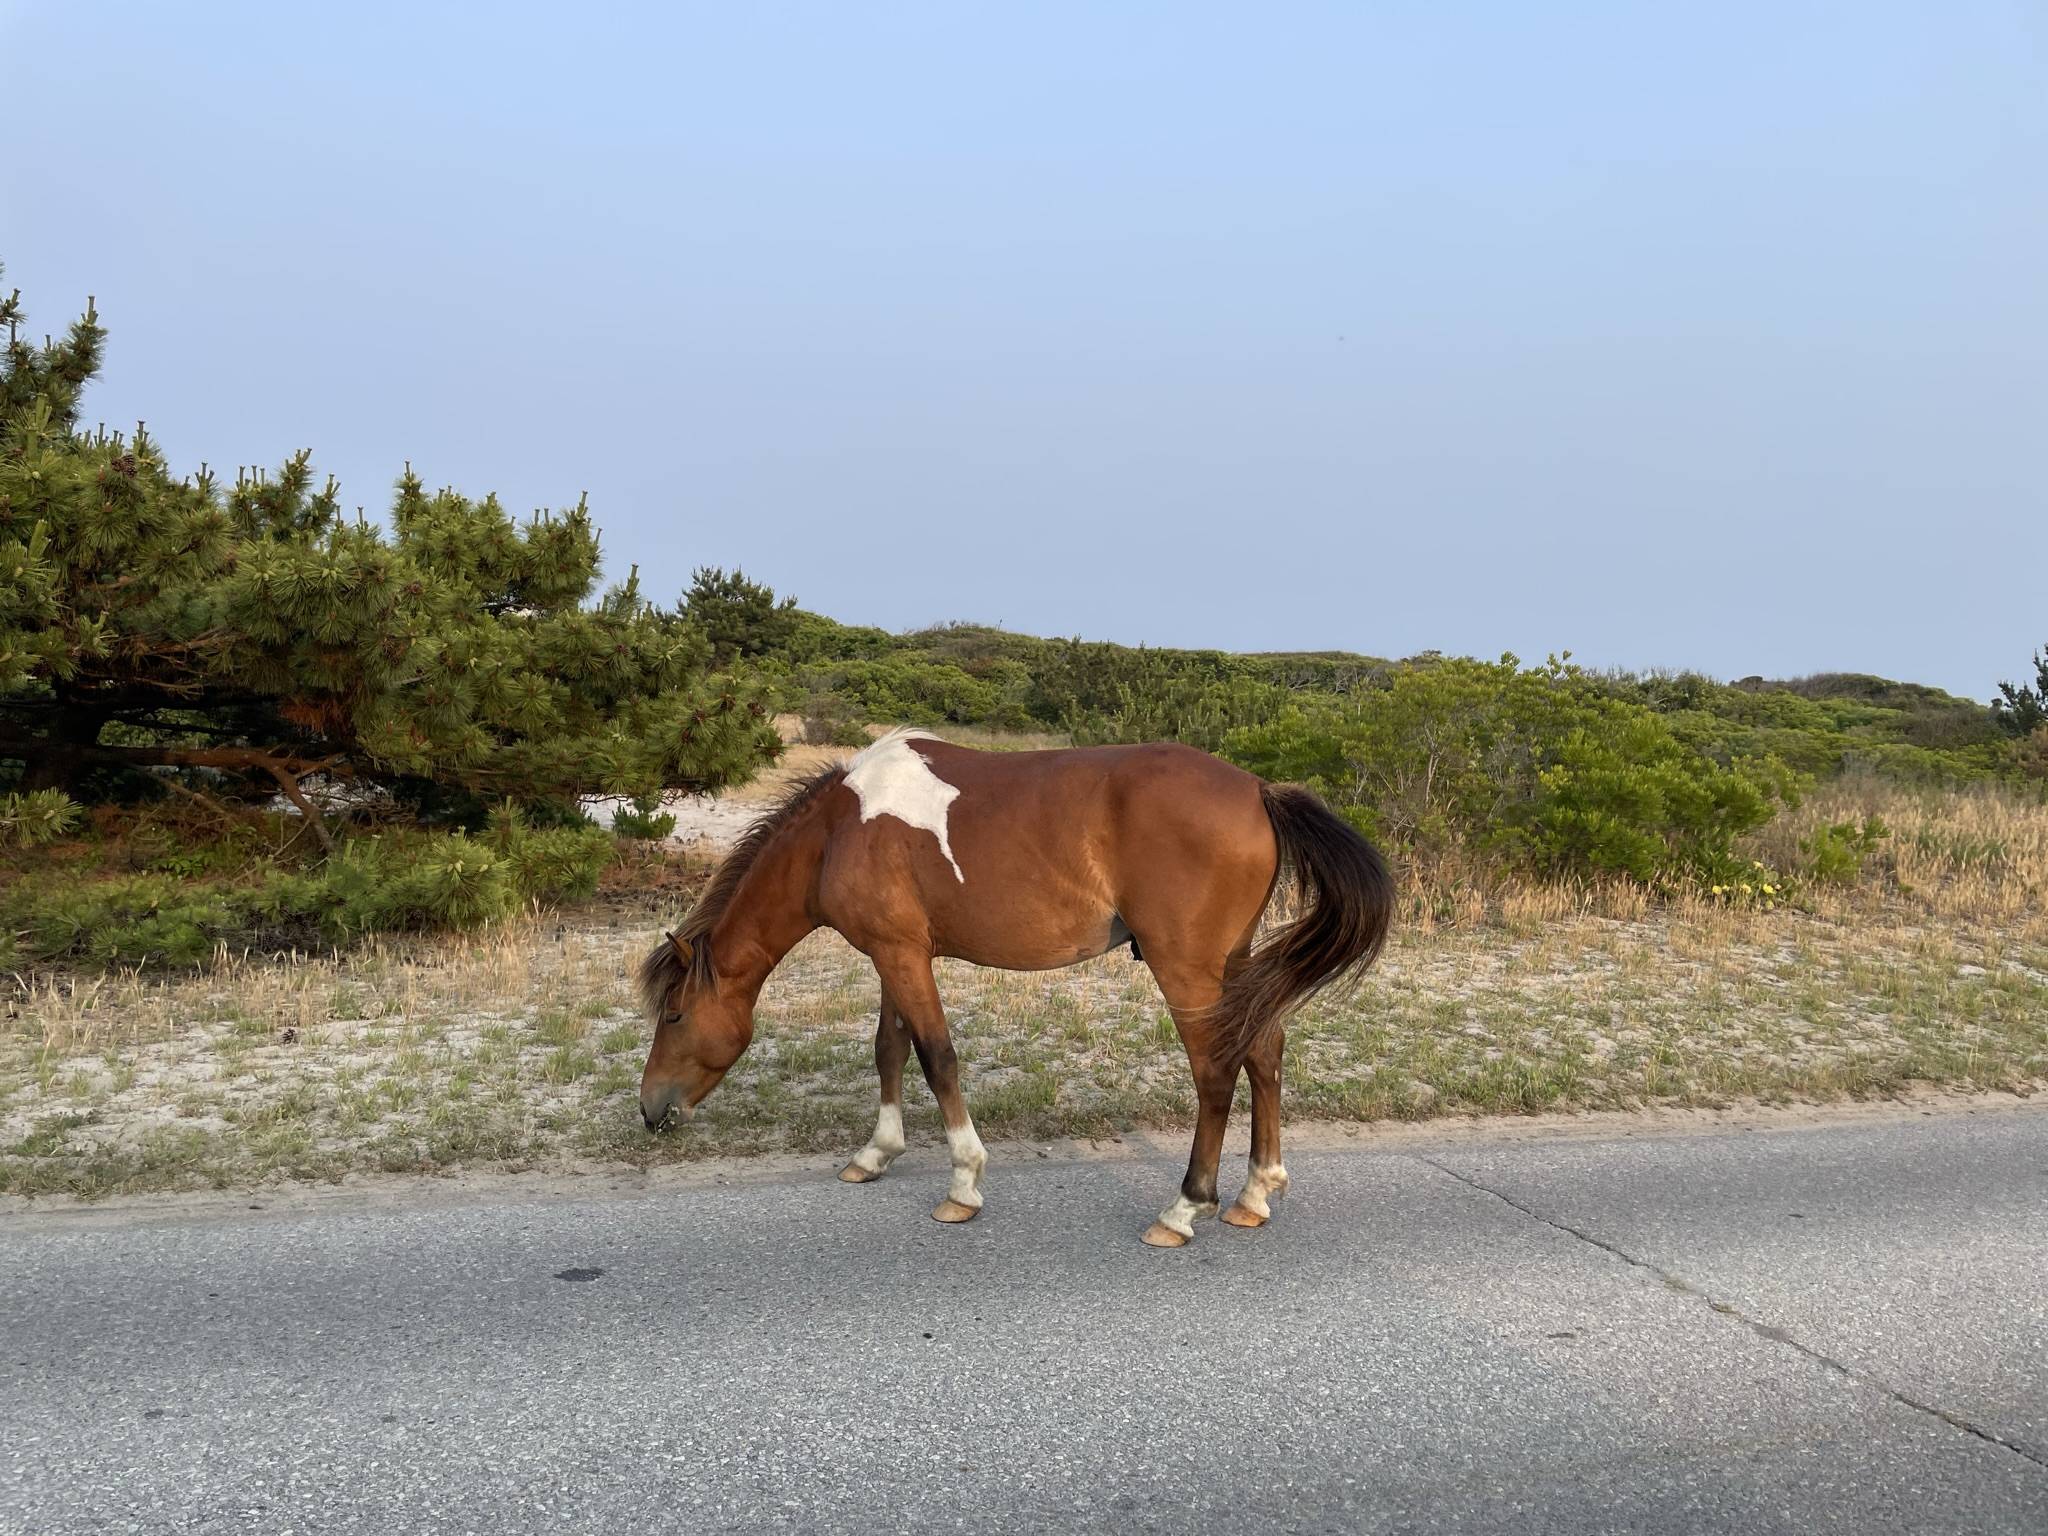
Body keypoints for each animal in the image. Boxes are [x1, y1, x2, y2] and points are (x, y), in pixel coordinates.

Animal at [637, 727, 1393, 1247]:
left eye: (673, 1016)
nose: (650, 1110)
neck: (837, 830)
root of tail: (1259, 792)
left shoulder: (902, 957)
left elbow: (937, 1057)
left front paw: (964, 1182)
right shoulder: (894, 954)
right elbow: (889, 1050)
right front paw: (875, 1154)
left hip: (1186, 968)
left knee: (1214, 1071)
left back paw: (1184, 1207)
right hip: (1232, 965)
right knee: (1264, 1051)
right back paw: (1254, 1194)